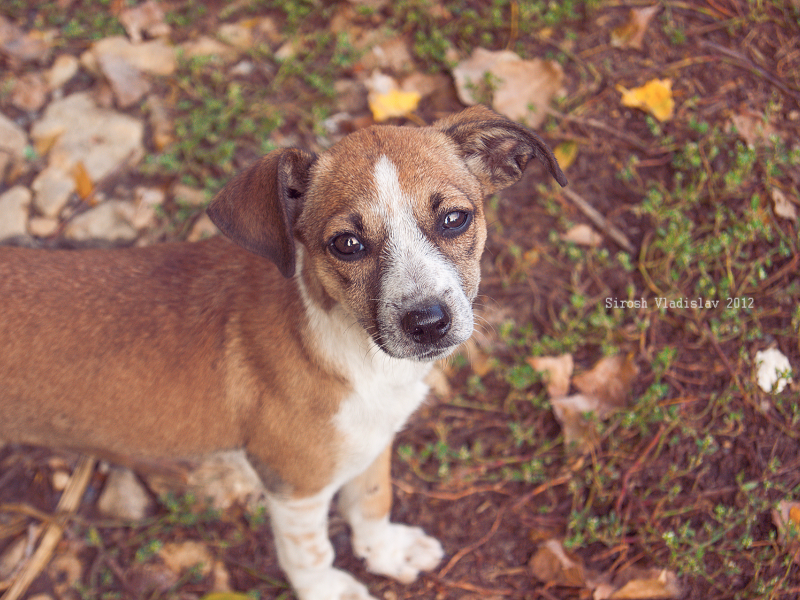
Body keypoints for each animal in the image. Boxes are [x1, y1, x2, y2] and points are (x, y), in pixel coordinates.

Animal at [0, 105, 564, 596]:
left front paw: (385, 551)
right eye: (347, 245)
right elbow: (310, 552)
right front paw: (330, 591)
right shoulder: (296, 482)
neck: (355, 351)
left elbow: (372, 500)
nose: (428, 323)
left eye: (454, 219)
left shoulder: (372, 439)